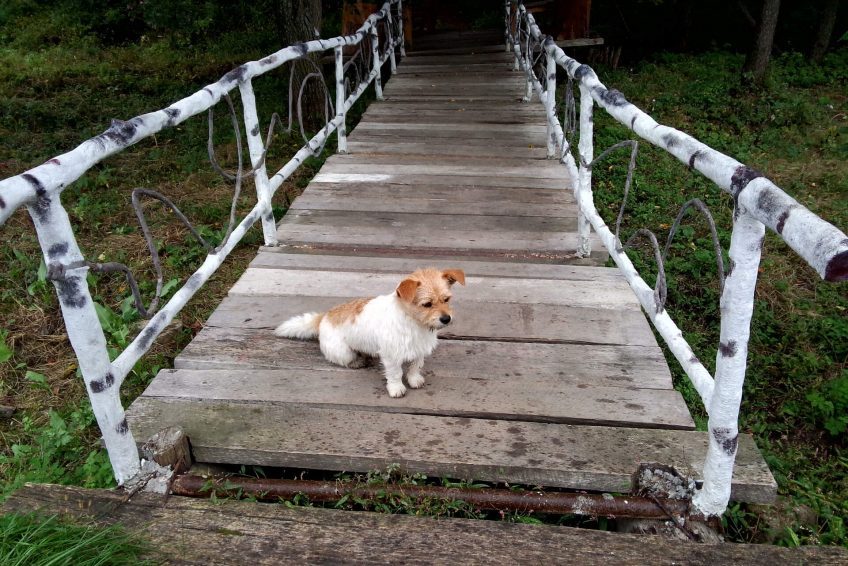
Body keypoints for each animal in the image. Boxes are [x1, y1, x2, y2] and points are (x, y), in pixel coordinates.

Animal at [274, 268, 465, 398]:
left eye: (447, 299)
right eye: (427, 304)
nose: (446, 319)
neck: (413, 322)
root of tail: (324, 317)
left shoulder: (420, 349)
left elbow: (415, 366)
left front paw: (414, 379)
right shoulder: (391, 355)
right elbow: (395, 373)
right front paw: (396, 388)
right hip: (343, 352)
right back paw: (357, 362)